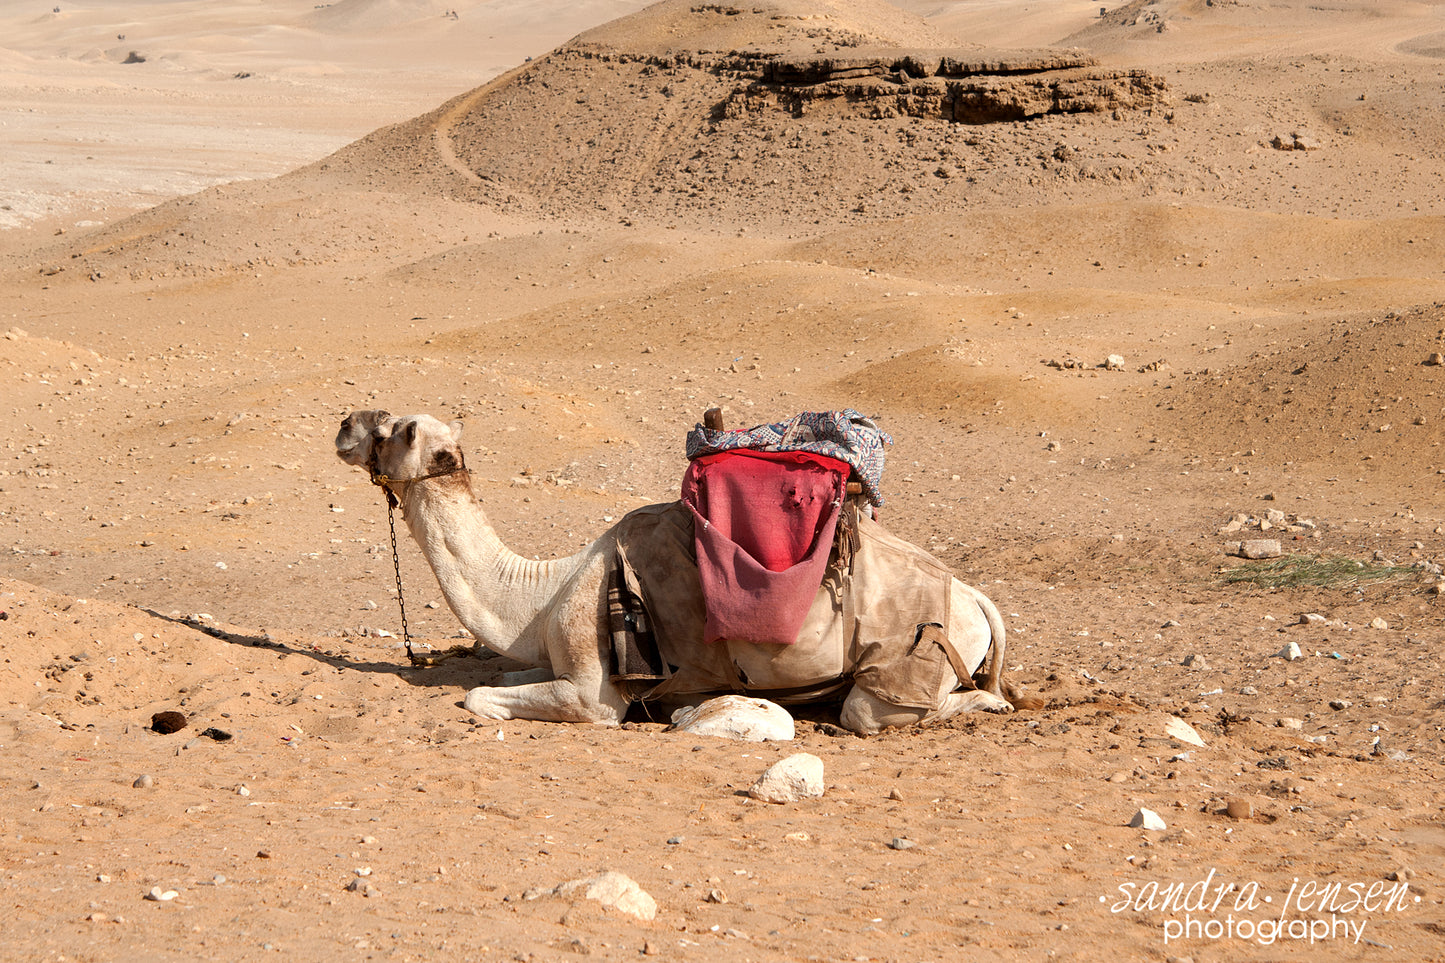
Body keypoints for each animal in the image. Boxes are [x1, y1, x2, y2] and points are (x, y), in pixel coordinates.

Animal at [335, 410, 1014, 734]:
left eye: (399, 429)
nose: (344, 423)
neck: (544, 593)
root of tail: (974, 597)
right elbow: (502, 673)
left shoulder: (592, 692)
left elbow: (479, 695)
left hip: (905, 660)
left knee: (883, 710)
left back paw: (986, 704)